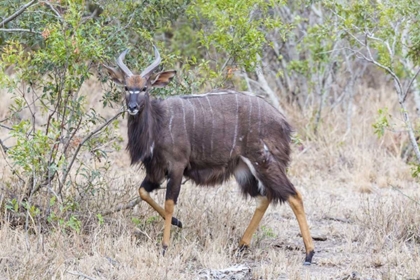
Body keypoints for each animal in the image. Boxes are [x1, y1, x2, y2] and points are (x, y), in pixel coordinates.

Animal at [105, 46, 316, 264]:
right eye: (126, 87)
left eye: (145, 88)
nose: (132, 107)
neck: (158, 122)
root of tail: (283, 122)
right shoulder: (155, 171)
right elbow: (142, 192)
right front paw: (178, 222)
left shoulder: (177, 166)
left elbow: (170, 203)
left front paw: (165, 246)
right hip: (243, 169)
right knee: (264, 198)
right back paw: (241, 245)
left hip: (264, 161)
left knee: (294, 195)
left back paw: (309, 253)